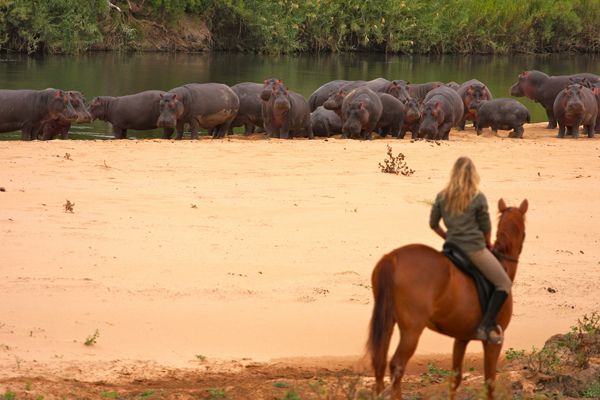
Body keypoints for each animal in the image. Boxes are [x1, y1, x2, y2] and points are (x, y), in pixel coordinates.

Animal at [368, 198, 528, 398]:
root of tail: (393, 257)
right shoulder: (493, 343)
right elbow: (490, 384)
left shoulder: (461, 339)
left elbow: (455, 379)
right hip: (412, 331)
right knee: (397, 365)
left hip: (387, 321)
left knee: (380, 362)